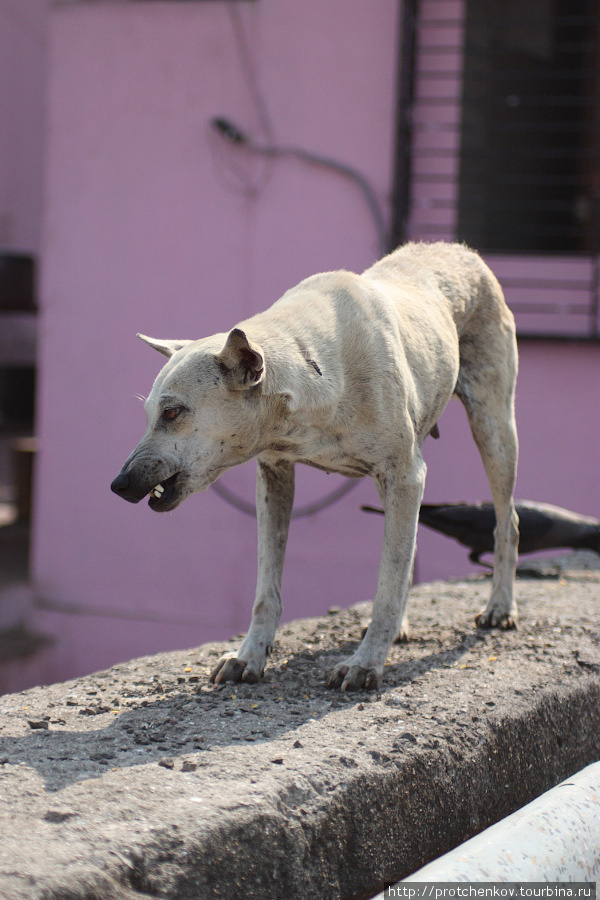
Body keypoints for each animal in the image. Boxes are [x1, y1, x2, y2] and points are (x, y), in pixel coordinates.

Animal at [112, 239, 520, 688]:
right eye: (150, 413)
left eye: (172, 412)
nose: (119, 484)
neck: (316, 373)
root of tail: (459, 249)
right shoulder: (275, 477)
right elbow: (266, 588)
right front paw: (249, 656)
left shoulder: (405, 475)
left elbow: (388, 580)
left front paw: (366, 663)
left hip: (494, 428)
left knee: (506, 521)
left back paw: (500, 607)